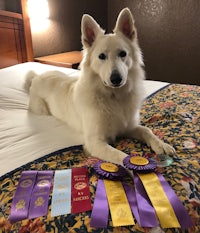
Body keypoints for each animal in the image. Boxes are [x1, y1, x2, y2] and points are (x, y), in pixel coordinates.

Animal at [25, 8, 175, 167]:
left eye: (123, 54)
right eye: (102, 56)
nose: (116, 79)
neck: (113, 97)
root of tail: (37, 76)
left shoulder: (129, 127)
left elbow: (147, 130)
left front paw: (161, 145)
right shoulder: (95, 142)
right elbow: (120, 156)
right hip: (42, 110)